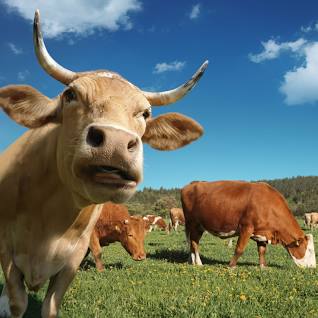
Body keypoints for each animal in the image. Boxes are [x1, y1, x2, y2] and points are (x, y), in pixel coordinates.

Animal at [0, 10, 207, 318]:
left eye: (145, 113)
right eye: (70, 95)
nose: (115, 144)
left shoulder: (72, 258)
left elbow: (51, 306)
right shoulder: (7, 249)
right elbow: (17, 302)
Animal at [181, 180, 316, 268]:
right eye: (309, 250)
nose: (313, 267)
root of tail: (192, 184)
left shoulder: (262, 232)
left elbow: (262, 250)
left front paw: (263, 266)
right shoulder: (246, 227)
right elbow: (239, 249)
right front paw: (231, 266)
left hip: (198, 226)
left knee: (192, 243)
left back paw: (191, 261)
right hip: (193, 223)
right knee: (194, 243)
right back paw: (199, 263)